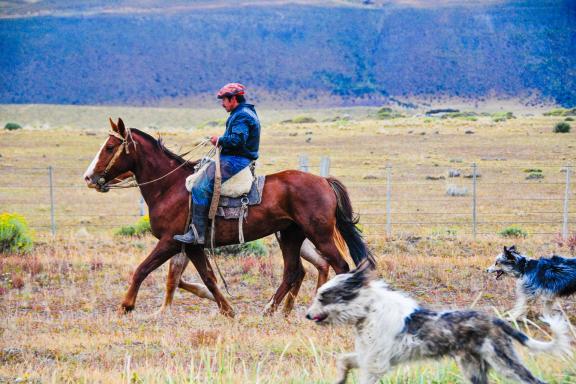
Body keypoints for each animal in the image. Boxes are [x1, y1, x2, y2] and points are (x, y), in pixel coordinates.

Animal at [84, 118, 374, 316]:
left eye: (110, 147)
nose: (88, 177)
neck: (171, 187)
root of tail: (324, 181)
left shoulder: (170, 241)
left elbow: (142, 269)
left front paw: (126, 305)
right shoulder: (191, 245)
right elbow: (207, 277)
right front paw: (227, 310)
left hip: (319, 235)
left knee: (340, 266)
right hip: (290, 235)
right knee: (293, 271)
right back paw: (269, 309)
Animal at [306, 262, 572, 382]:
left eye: (323, 297)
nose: (307, 315)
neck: (369, 311)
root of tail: (494, 319)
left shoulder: (375, 364)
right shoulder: (368, 357)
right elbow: (343, 361)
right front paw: (340, 378)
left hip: (503, 362)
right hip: (474, 368)